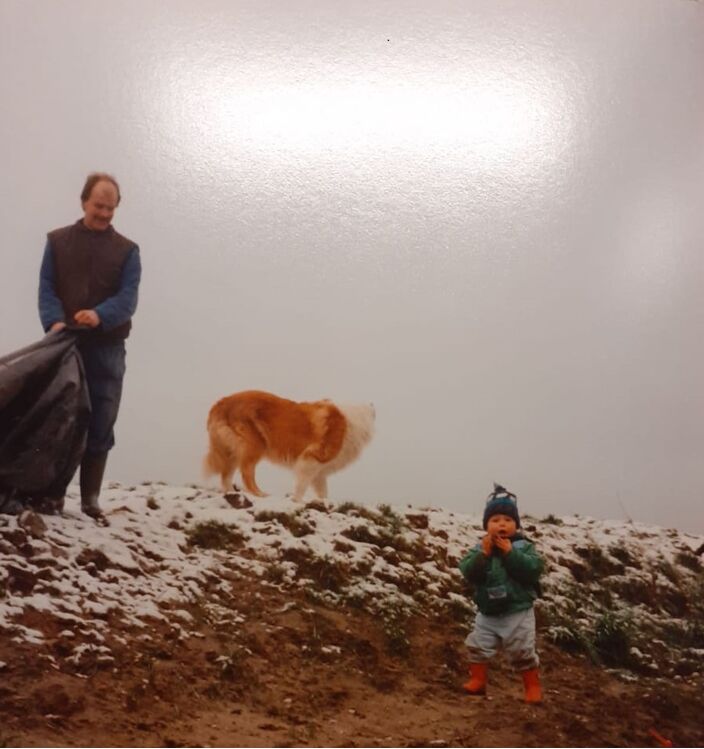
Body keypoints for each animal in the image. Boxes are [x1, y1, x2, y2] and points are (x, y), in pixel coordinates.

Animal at [204, 388, 374, 500]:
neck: (352, 420)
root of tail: (221, 402)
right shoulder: (312, 458)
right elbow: (301, 485)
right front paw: (296, 500)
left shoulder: (319, 473)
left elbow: (323, 493)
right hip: (255, 445)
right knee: (247, 474)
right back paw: (260, 494)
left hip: (232, 451)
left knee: (226, 475)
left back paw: (230, 492)